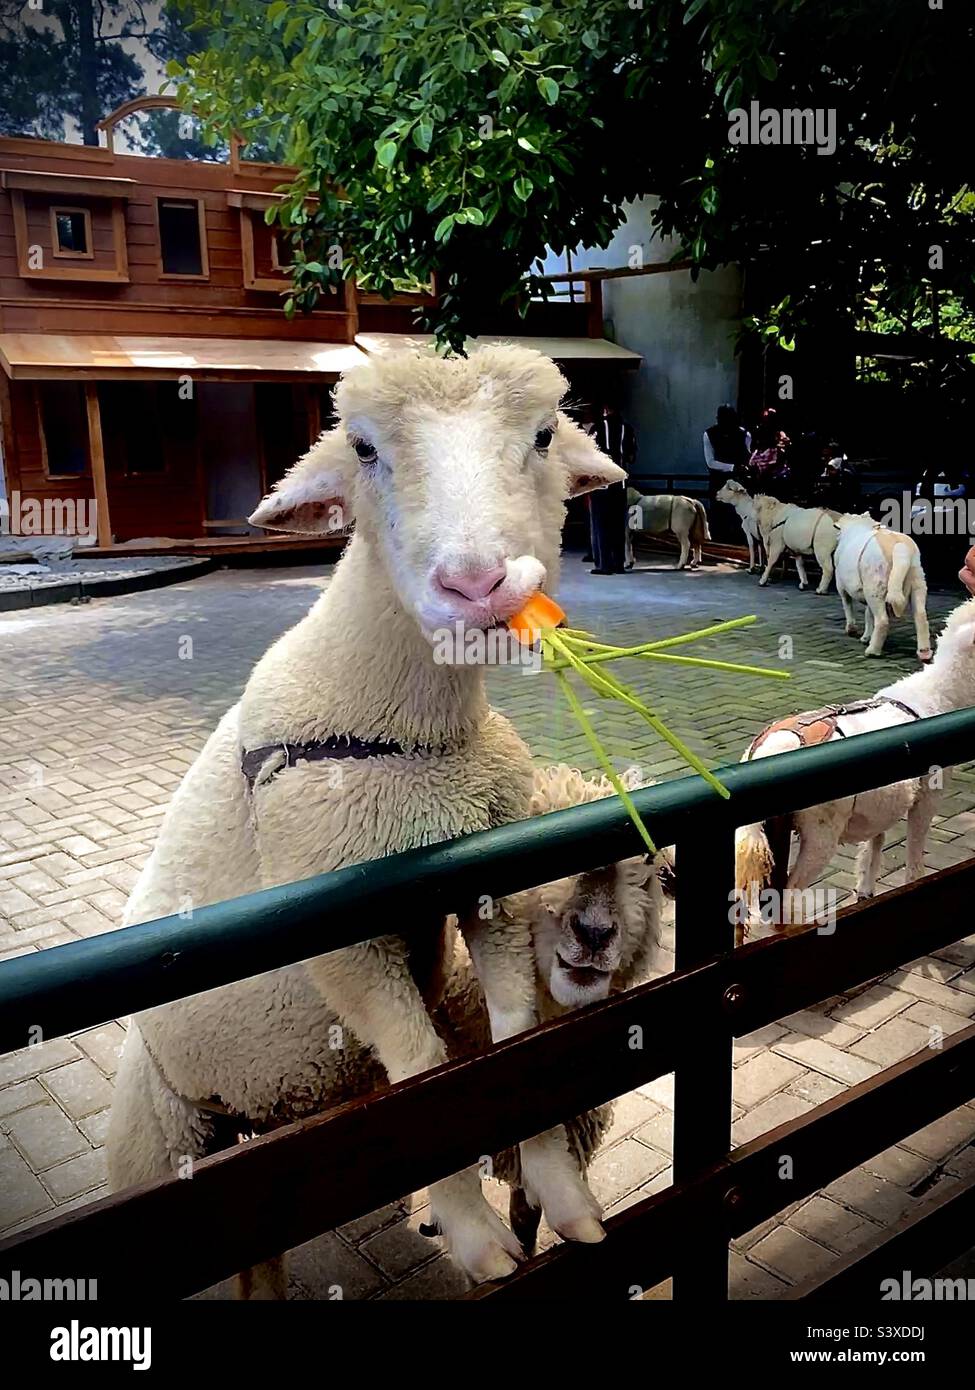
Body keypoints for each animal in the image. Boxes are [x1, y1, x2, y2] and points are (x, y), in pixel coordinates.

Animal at [105, 345, 627, 1285]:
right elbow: (422, 1063)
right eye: (363, 448)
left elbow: (516, 1038)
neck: (406, 734)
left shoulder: (490, 890)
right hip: (157, 1133)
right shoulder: (339, 934)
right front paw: (476, 1236)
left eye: (542, 436)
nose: (475, 585)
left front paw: (563, 1196)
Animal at [734, 597, 975, 939]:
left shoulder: (883, 803)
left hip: (767, 833)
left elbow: (873, 846)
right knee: (786, 895)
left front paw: (865, 890)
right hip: (820, 831)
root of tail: (769, 751)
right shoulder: (927, 798)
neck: (943, 693)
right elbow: (915, 855)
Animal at [834, 513, 932, 660]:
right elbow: (868, 614)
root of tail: (899, 546)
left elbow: (848, 605)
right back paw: (924, 653)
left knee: (882, 620)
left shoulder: (841, 586)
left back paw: (872, 651)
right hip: (917, 581)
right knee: (920, 615)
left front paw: (852, 630)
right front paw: (866, 637)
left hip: (875, 586)